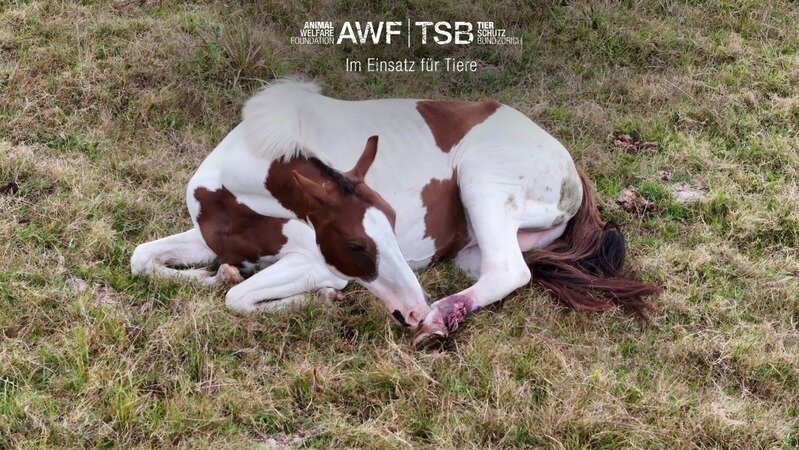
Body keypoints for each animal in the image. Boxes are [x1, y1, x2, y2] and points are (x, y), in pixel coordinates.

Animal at [131, 79, 659, 346]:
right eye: (356, 242)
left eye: (389, 223)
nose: (412, 308)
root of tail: (570, 166)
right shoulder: (206, 238)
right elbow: (144, 259)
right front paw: (218, 273)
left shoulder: (313, 261)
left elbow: (240, 299)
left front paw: (323, 298)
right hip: (473, 248)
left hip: (482, 182)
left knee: (509, 272)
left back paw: (439, 320)